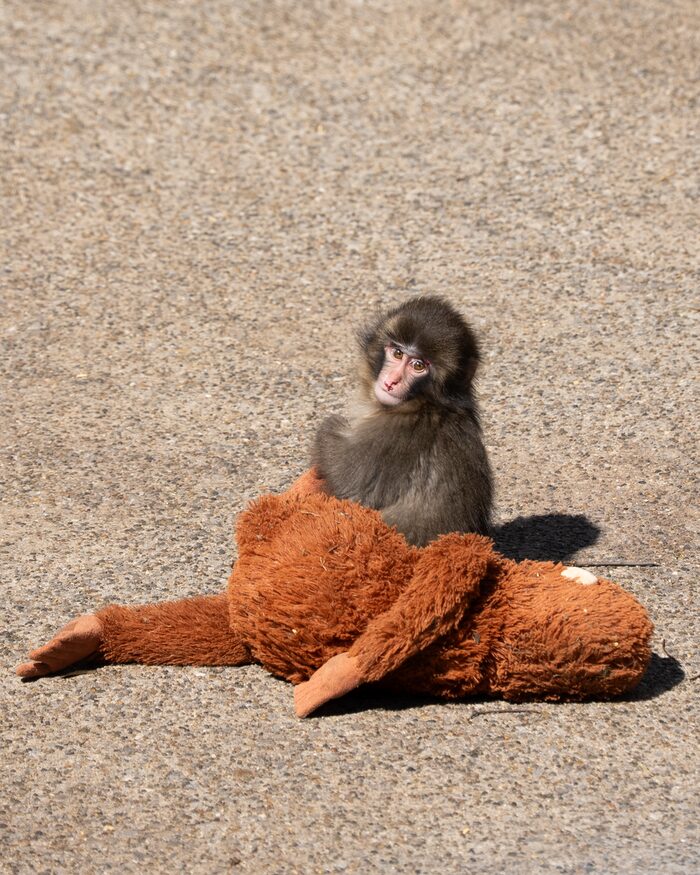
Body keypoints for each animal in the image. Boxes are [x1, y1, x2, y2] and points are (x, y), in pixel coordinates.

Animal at [312, 295, 493, 547]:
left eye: (418, 365)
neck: (424, 405)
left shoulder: (389, 437)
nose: (391, 382)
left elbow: (347, 488)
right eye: (397, 353)